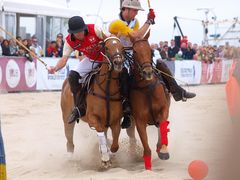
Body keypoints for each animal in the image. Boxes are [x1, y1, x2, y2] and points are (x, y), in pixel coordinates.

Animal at [60, 35, 124, 169]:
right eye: (106, 48)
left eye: (122, 47)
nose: (118, 63)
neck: (107, 90)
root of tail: (66, 83)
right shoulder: (93, 119)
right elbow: (101, 134)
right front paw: (105, 158)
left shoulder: (115, 122)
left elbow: (115, 145)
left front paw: (109, 154)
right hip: (66, 117)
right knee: (69, 139)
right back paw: (70, 160)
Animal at [126, 31, 172, 171]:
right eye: (134, 51)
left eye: (150, 50)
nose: (147, 72)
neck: (146, 88)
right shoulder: (139, 120)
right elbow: (146, 147)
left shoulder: (164, 109)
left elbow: (162, 125)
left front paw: (163, 150)